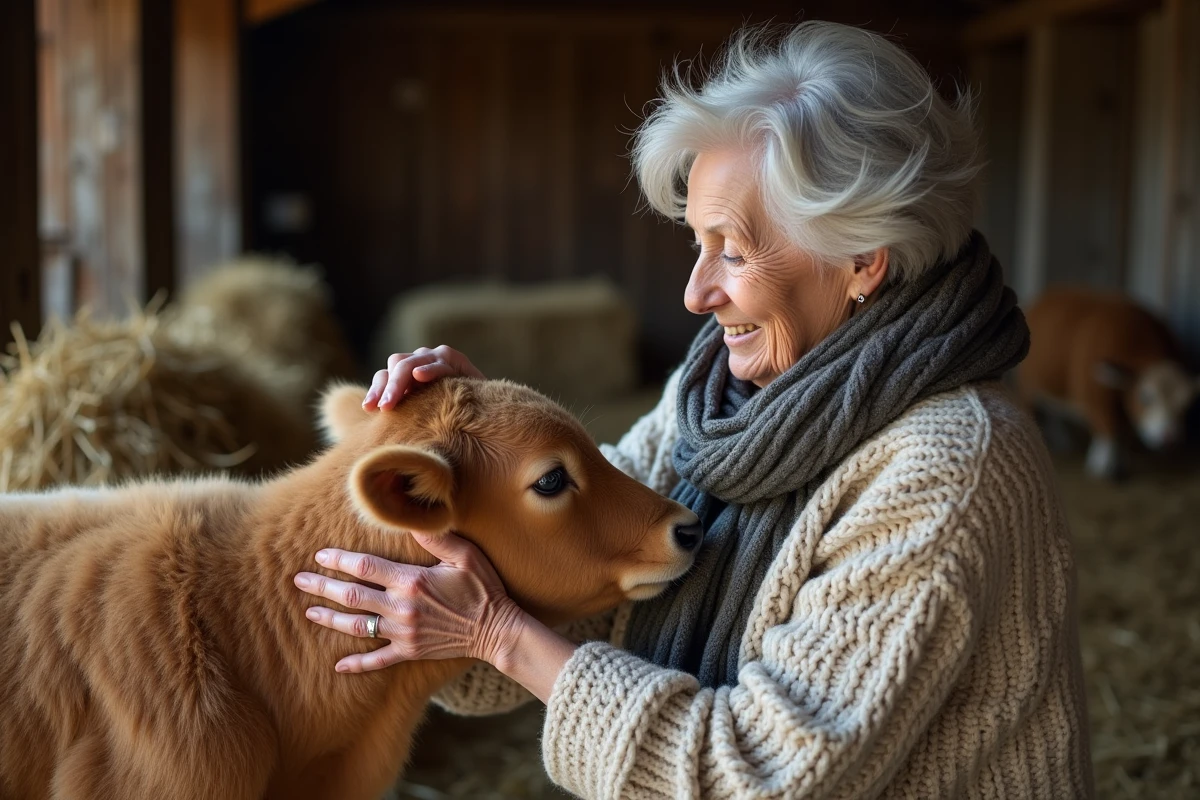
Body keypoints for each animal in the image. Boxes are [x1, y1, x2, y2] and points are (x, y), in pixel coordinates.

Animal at [1016, 287, 1200, 478]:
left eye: (1186, 404)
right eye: (1146, 397)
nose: (1169, 439)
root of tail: (1045, 297)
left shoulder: (1124, 408)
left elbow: (1122, 435)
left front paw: (1121, 463)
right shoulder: (1096, 401)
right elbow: (1108, 432)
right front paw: (1103, 466)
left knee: (1054, 411)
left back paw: (1060, 440)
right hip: (1028, 386)